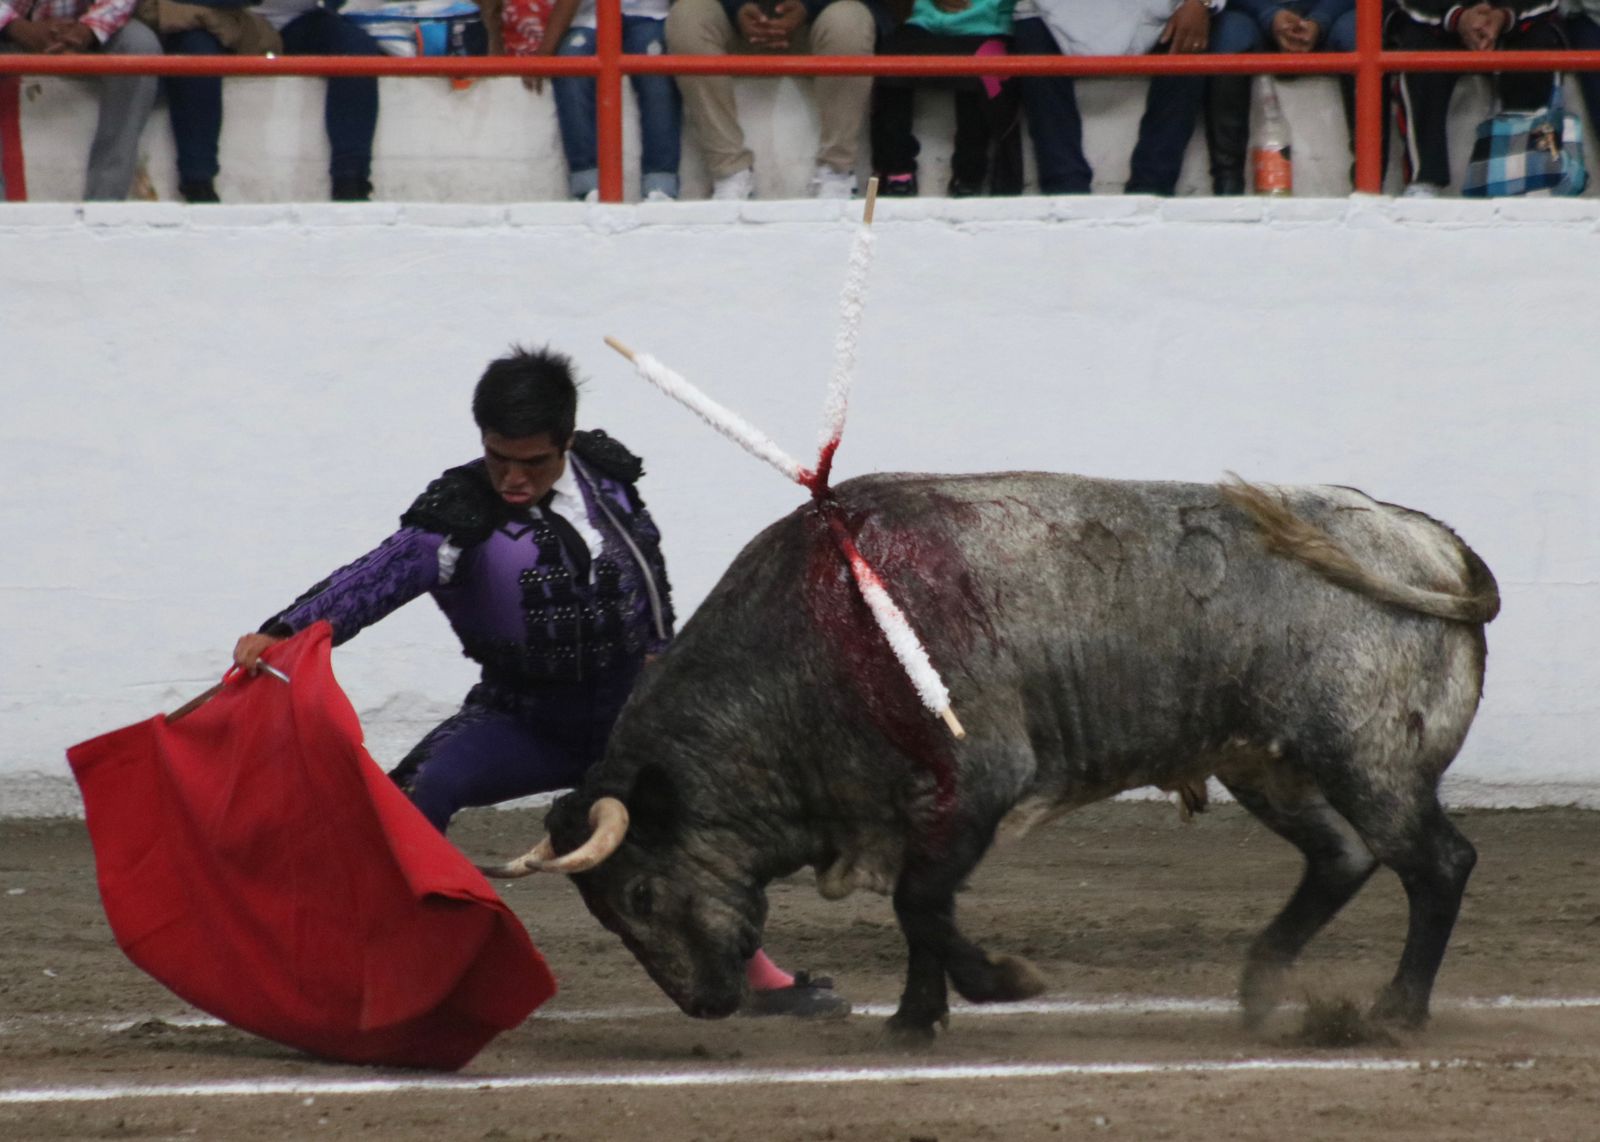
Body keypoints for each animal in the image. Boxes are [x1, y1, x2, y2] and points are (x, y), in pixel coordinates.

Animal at [483, 467, 1497, 1036]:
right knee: (1344, 857)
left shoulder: (975, 785)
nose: (704, 1004)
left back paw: (1397, 1012)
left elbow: (921, 904)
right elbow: (915, 912)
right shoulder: (912, 811)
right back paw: (1258, 989)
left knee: (1437, 863)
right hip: (1268, 764)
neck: (813, 644)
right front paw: (912, 1018)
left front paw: (999, 984)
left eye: (641, 896)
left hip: (1367, 758)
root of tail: (1432, 543)